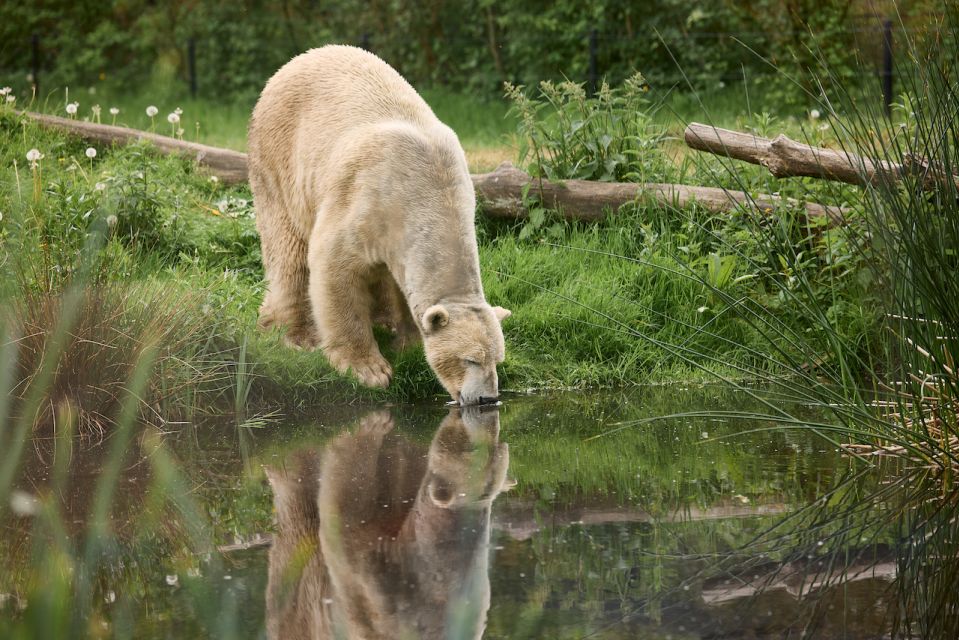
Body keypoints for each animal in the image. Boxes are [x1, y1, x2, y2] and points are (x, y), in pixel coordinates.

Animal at [251, 46, 512, 404]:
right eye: (470, 359)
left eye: (497, 359)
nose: (487, 398)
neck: (431, 191)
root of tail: (296, 61)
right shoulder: (366, 199)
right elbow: (334, 267)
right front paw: (370, 370)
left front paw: (408, 342)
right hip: (279, 159)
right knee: (288, 251)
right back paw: (294, 333)